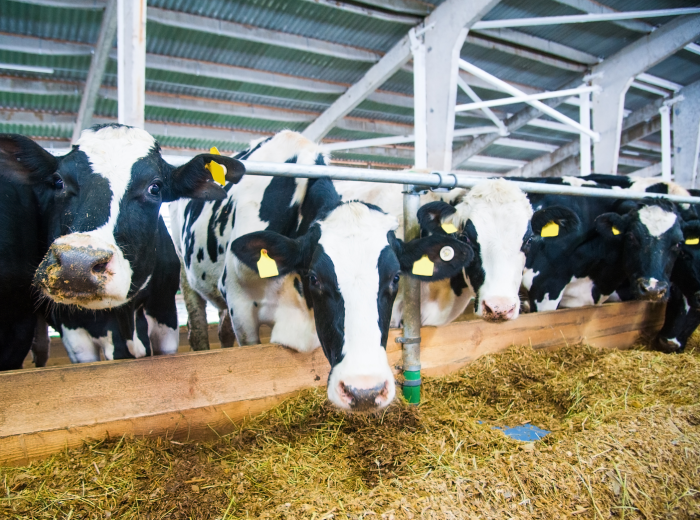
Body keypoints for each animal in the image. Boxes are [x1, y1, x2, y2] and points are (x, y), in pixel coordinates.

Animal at [0, 124, 244, 370]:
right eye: (59, 181)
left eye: (155, 188)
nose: (76, 266)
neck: (126, 315)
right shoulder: (74, 333)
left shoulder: (165, 316)